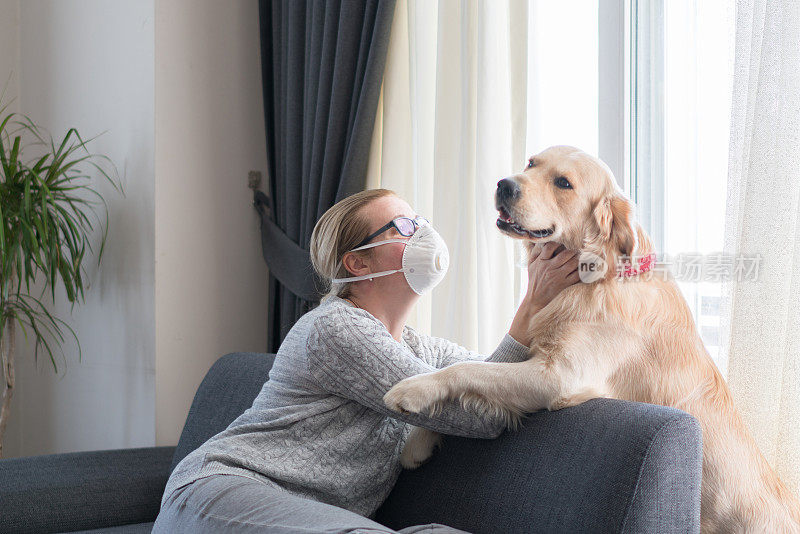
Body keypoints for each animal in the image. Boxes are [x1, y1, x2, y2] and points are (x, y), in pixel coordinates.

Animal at [382, 147, 800, 534]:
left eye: (563, 183)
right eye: (531, 163)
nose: (505, 185)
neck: (597, 272)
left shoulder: (559, 377)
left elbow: (467, 369)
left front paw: (411, 391)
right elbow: (476, 377)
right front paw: (417, 444)